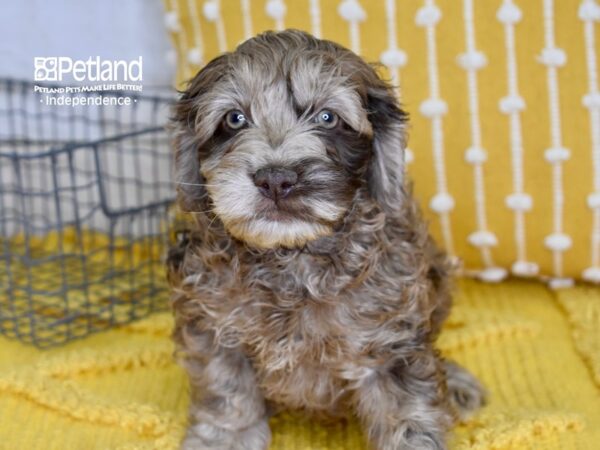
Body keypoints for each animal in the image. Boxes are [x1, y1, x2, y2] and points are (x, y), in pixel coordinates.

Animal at [166, 29, 486, 448]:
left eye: (327, 117)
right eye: (234, 119)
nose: (276, 179)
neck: (291, 259)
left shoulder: (389, 339)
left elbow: (405, 411)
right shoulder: (213, 325)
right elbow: (227, 392)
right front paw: (224, 437)